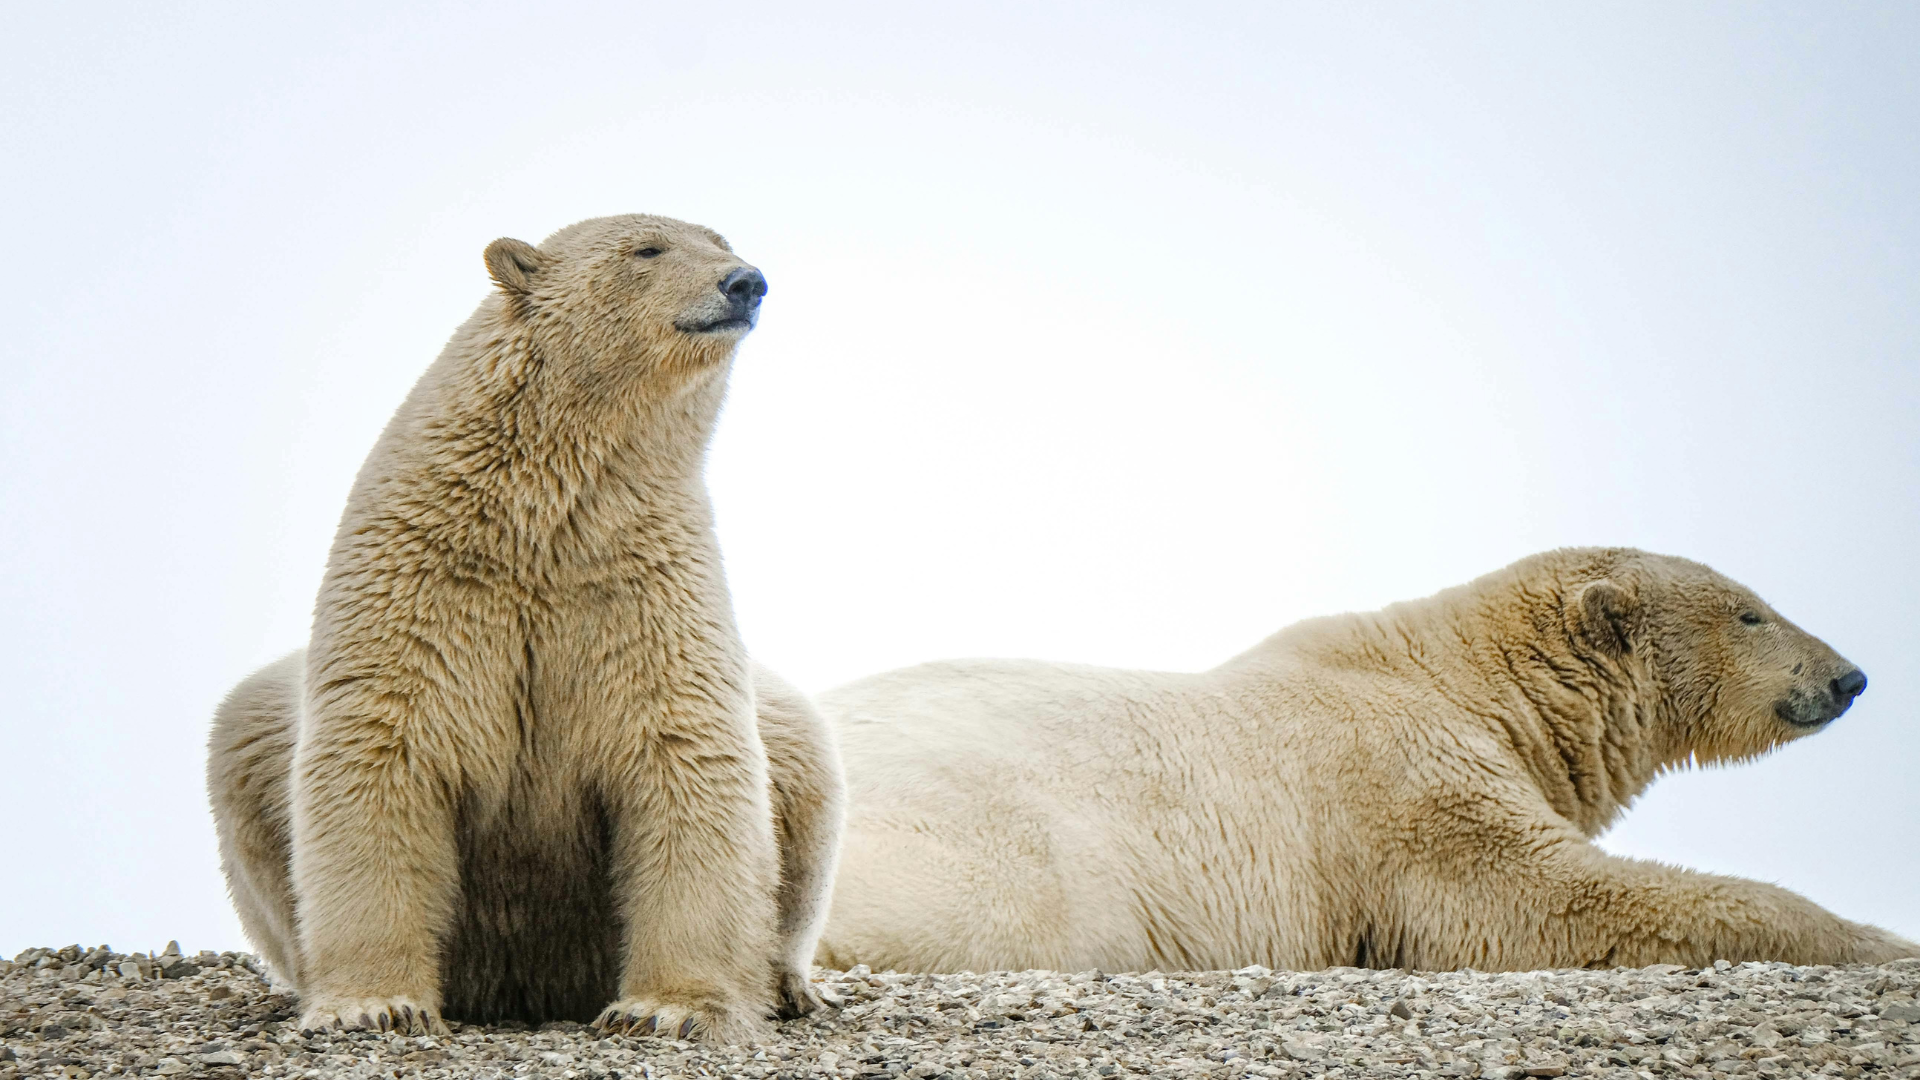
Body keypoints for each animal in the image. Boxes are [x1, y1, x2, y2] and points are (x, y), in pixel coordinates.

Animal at [205, 215, 845, 1043]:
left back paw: (792, 984)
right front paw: (375, 1004)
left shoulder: (643, 587)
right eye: (647, 249)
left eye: (721, 240)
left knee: (801, 757)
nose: (746, 281)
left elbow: (686, 755)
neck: (540, 521)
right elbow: (381, 753)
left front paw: (665, 1008)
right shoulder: (424, 584)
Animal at [814, 547, 1915, 974]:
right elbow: (1547, 901)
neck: (1465, 678)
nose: (1853, 676)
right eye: (1751, 611)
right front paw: (1884, 940)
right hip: (1006, 851)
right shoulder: (1406, 791)